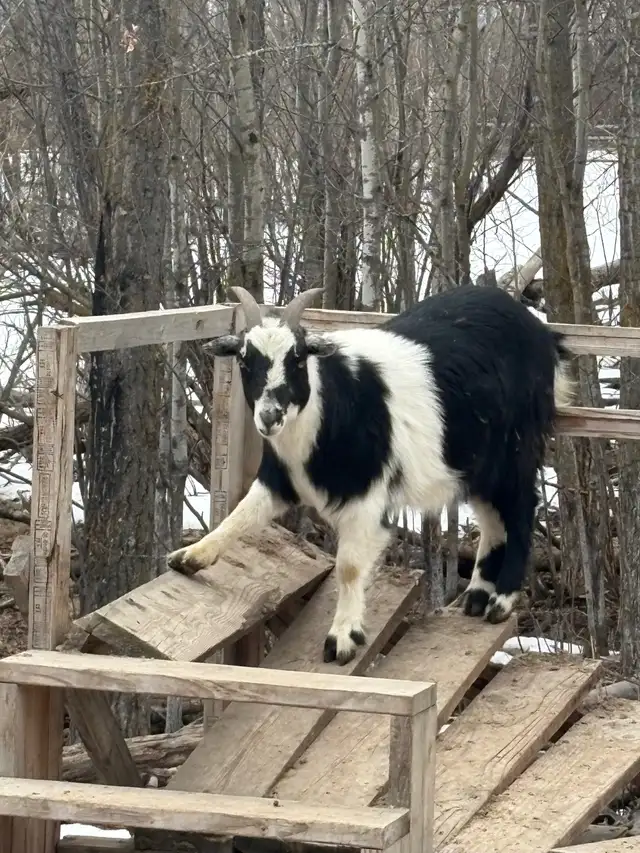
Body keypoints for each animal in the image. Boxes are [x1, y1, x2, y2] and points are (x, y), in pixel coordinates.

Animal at [168, 284, 573, 666]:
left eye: (298, 357)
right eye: (244, 358)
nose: (269, 416)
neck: (330, 411)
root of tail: (540, 331)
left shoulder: (366, 496)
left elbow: (348, 567)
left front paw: (343, 639)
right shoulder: (279, 479)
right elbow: (239, 516)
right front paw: (190, 557)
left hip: (516, 448)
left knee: (521, 511)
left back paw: (500, 601)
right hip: (476, 460)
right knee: (491, 517)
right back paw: (475, 595)